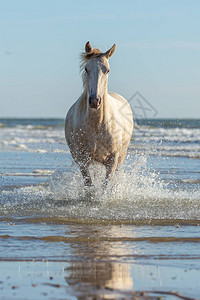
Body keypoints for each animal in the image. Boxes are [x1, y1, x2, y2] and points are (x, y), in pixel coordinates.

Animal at [65, 41, 133, 188]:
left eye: (107, 70)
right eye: (86, 69)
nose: (95, 101)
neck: (97, 125)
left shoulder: (113, 159)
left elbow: (106, 186)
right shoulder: (83, 159)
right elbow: (89, 186)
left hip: (121, 156)